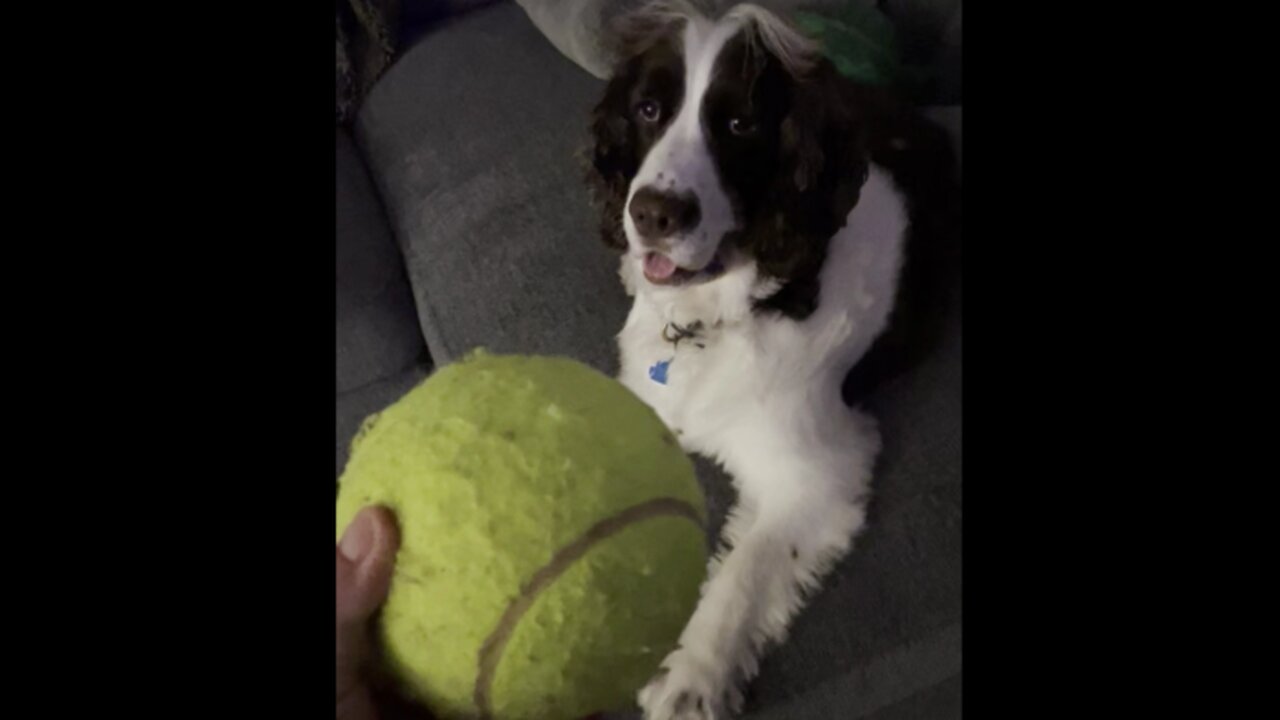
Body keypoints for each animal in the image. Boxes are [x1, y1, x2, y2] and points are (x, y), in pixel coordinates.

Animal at [586, 2, 957, 712]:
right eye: (648, 110)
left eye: (739, 124)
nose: (654, 214)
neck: (719, 315)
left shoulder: (819, 469)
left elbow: (746, 573)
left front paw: (692, 678)